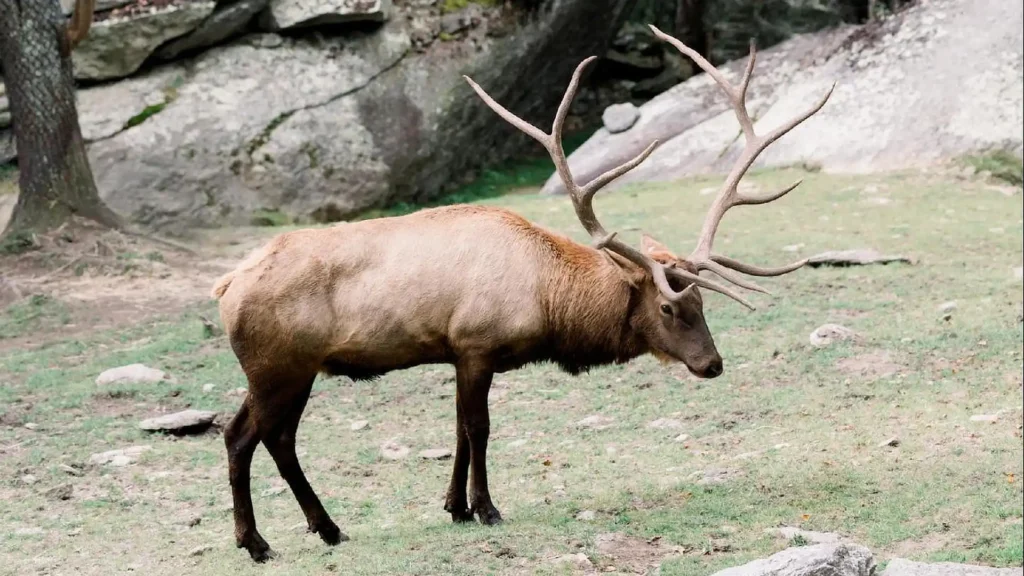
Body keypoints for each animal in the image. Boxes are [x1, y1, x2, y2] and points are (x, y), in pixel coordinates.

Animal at [214, 26, 831, 561]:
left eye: (702, 301)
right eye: (667, 306)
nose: (712, 364)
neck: (549, 304)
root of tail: (225, 286)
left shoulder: (457, 352)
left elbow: (458, 431)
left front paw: (455, 507)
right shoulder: (476, 345)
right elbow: (478, 430)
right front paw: (486, 508)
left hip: (289, 369)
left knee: (271, 438)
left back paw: (324, 529)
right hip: (278, 366)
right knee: (245, 436)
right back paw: (259, 541)